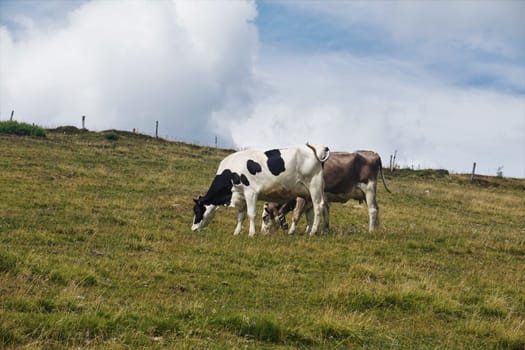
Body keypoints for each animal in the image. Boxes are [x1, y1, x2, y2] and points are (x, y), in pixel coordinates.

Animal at [190, 144, 330, 237]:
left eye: (197, 210)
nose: (193, 228)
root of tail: (314, 148)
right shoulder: (241, 195)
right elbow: (241, 216)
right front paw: (236, 232)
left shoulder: (251, 192)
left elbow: (251, 214)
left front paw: (251, 234)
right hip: (308, 193)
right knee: (313, 211)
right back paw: (310, 231)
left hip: (314, 185)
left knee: (318, 207)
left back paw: (313, 232)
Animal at [260, 150, 388, 234]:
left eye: (264, 217)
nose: (261, 232)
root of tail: (373, 153)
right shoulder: (312, 200)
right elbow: (314, 216)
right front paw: (315, 230)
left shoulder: (301, 197)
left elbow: (297, 214)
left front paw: (291, 232)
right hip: (366, 193)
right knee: (377, 208)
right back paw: (376, 229)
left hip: (369, 189)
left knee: (372, 210)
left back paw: (371, 231)